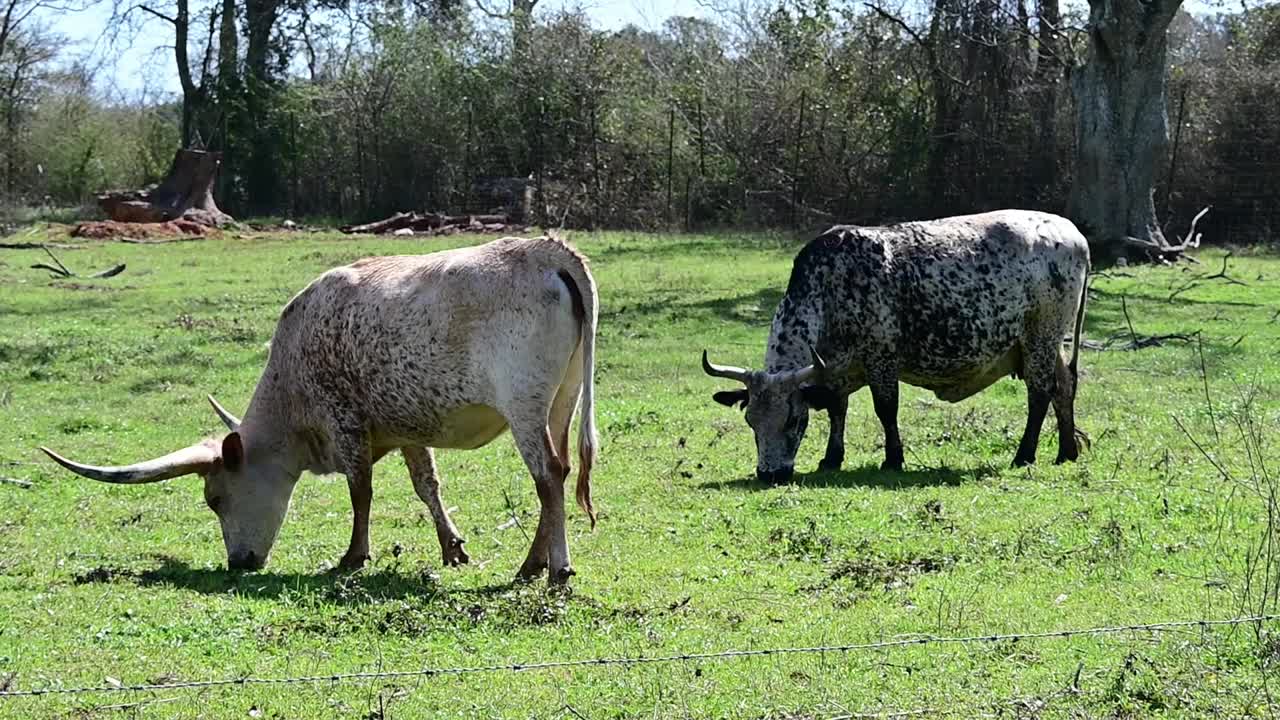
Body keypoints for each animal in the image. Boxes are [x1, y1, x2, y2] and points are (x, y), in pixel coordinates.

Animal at [41, 235, 599, 584]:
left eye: (215, 498)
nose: (239, 563)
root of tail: (549, 251)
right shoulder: (407, 425)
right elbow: (427, 485)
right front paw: (452, 548)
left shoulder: (345, 420)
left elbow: (361, 492)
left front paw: (352, 556)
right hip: (562, 401)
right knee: (559, 471)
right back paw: (535, 563)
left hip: (524, 405)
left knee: (548, 476)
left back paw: (552, 569)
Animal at [701, 210, 1090, 479]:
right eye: (751, 421)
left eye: (794, 420)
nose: (770, 474)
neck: (831, 287)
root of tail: (1072, 234)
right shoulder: (834, 372)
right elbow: (837, 410)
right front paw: (831, 458)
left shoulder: (881, 360)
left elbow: (885, 409)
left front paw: (893, 458)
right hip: (1047, 344)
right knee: (1063, 388)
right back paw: (1066, 452)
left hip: (1040, 337)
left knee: (1040, 393)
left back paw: (1024, 454)